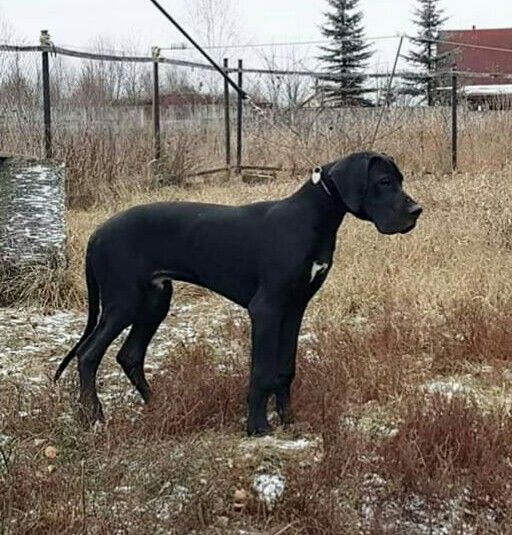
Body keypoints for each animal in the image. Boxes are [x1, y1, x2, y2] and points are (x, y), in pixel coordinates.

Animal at [55, 151, 422, 435]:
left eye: (399, 180)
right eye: (384, 182)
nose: (416, 210)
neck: (312, 217)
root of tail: (97, 233)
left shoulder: (295, 307)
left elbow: (285, 368)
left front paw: (289, 419)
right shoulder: (267, 308)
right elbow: (261, 371)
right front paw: (257, 427)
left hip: (155, 301)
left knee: (129, 355)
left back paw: (157, 404)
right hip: (124, 302)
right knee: (88, 355)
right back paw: (93, 417)